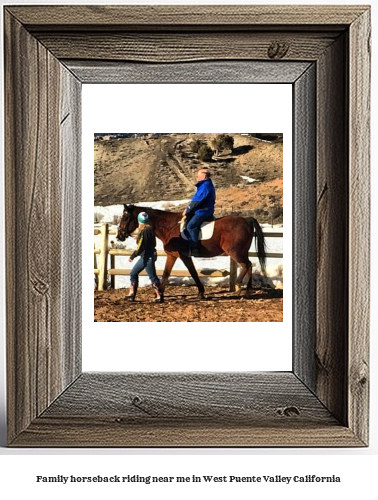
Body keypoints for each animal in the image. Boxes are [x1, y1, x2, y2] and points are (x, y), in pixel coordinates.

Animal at [116, 203, 268, 296]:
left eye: (125, 217)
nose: (119, 236)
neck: (169, 226)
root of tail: (247, 219)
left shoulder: (184, 256)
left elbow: (193, 272)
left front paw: (201, 291)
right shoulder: (172, 255)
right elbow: (166, 273)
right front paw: (160, 291)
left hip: (235, 252)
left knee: (246, 265)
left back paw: (241, 287)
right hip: (241, 252)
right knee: (248, 265)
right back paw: (244, 289)